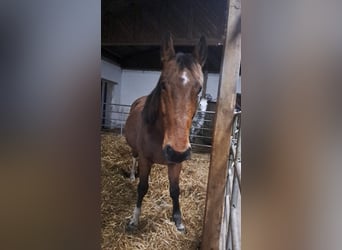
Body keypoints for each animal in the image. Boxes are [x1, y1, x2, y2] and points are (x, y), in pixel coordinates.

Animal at [125, 32, 207, 231]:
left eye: (199, 89)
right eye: (163, 84)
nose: (176, 151)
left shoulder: (176, 163)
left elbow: (175, 190)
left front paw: (178, 221)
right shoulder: (145, 159)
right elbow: (142, 187)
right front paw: (134, 220)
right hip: (135, 150)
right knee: (133, 158)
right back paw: (131, 176)